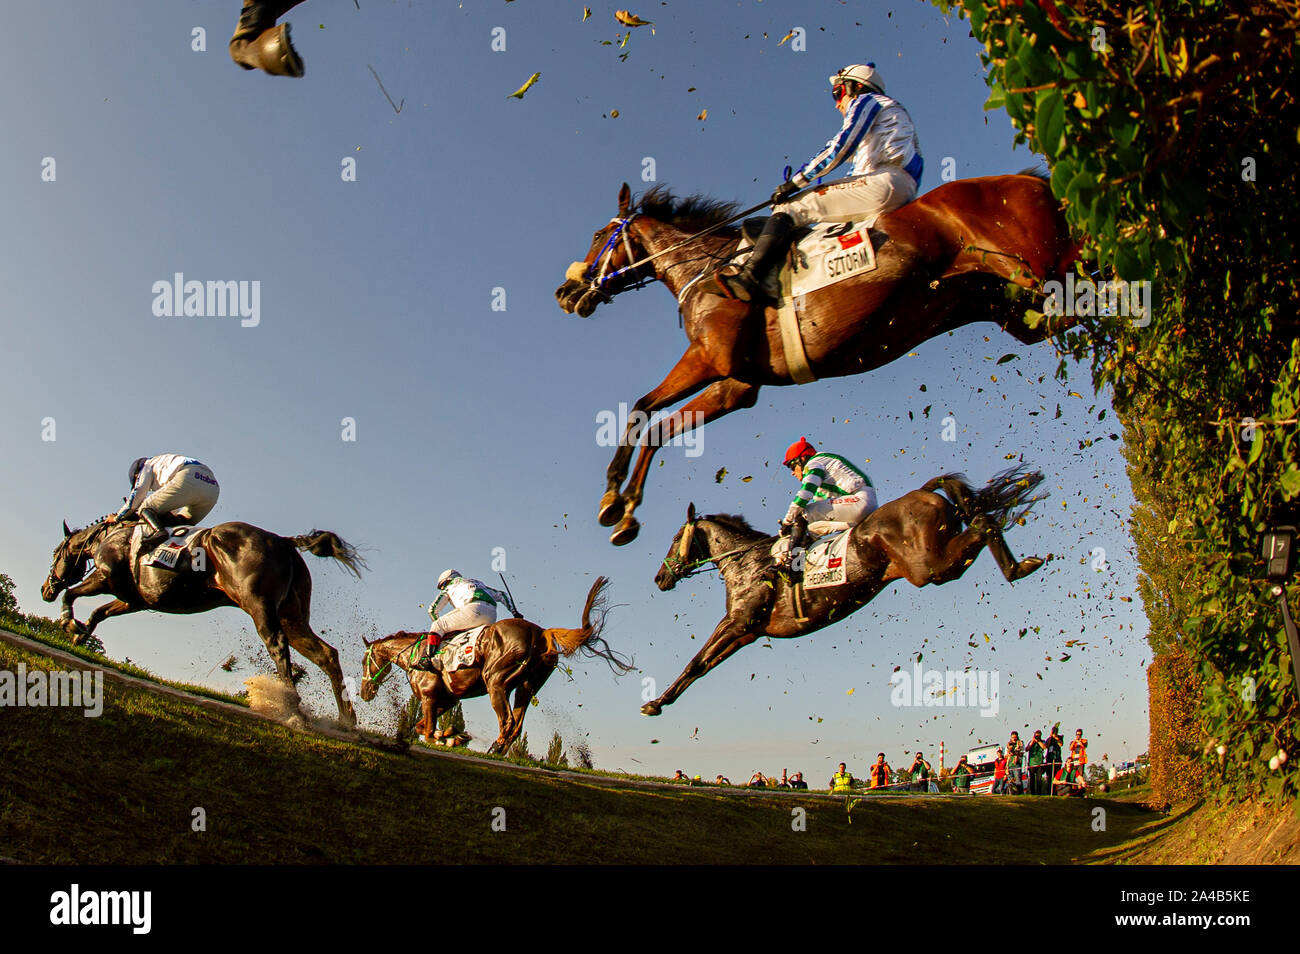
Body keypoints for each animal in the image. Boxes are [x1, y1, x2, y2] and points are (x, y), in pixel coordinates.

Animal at [42, 519, 366, 727]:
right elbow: (99, 613)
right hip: (293, 617)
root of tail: (284, 542)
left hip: (259, 607)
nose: (46, 589)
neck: (111, 538)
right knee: (325, 654)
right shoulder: (134, 600)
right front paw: (79, 636)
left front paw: (69, 623)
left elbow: (72, 594)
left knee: (277, 644)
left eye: (56, 553)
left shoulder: (104, 578)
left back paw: (290, 707)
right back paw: (346, 719)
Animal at [361, 574, 634, 753]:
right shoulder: (447, 699)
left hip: (496, 682)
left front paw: (445, 737)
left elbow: (426, 733)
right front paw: (451, 735)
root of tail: (541, 632)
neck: (413, 654)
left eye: (365, 661)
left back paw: (495, 747)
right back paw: (498, 747)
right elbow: (420, 727)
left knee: (508, 721)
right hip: (527, 685)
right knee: (518, 723)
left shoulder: (429, 698)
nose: (364, 692)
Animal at [556, 172, 1076, 545]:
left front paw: (614, 499)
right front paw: (623, 510)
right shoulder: (735, 386)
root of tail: (1032, 180)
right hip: (1014, 309)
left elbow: (643, 410)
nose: (566, 291)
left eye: (600, 234)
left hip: (1046, 275)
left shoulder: (709, 360)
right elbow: (656, 426)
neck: (707, 267)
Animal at [644, 470, 1050, 717]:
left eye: (674, 538)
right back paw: (1021, 565)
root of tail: (923, 491)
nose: (660, 577)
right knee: (983, 522)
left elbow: (695, 661)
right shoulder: (748, 632)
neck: (747, 561)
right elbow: (703, 667)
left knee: (982, 522)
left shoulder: (736, 621)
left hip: (928, 567)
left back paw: (1018, 567)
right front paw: (662, 701)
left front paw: (654, 703)